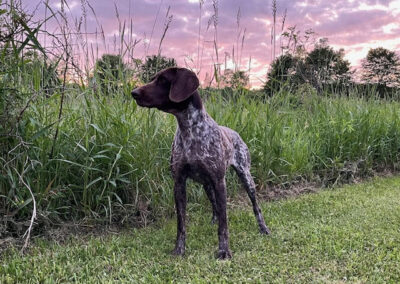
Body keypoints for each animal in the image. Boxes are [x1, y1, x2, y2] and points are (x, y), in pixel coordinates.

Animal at [131, 67, 268, 260]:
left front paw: (224, 251)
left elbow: (224, 224)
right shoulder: (179, 183)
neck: (189, 130)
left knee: (256, 207)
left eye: (163, 80)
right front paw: (179, 249)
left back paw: (263, 228)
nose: (133, 92)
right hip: (207, 186)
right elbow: (181, 224)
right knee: (214, 207)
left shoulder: (219, 183)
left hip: (245, 178)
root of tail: (235, 133)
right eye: (153, 78)